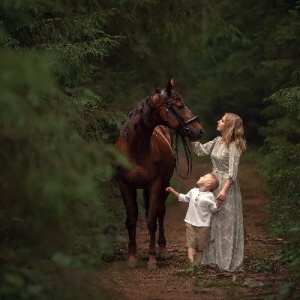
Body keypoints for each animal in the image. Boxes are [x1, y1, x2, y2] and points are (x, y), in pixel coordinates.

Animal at [115, 78, 204, 270]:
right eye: (180, 106)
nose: (199, 130)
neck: (136, 149)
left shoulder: (155, 185)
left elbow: (151, 221)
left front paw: (152, 259)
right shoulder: (125, 185)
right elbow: (131, 220)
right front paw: (132, 257)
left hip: (164, 184)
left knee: (160, 213)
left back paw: (162, 250)